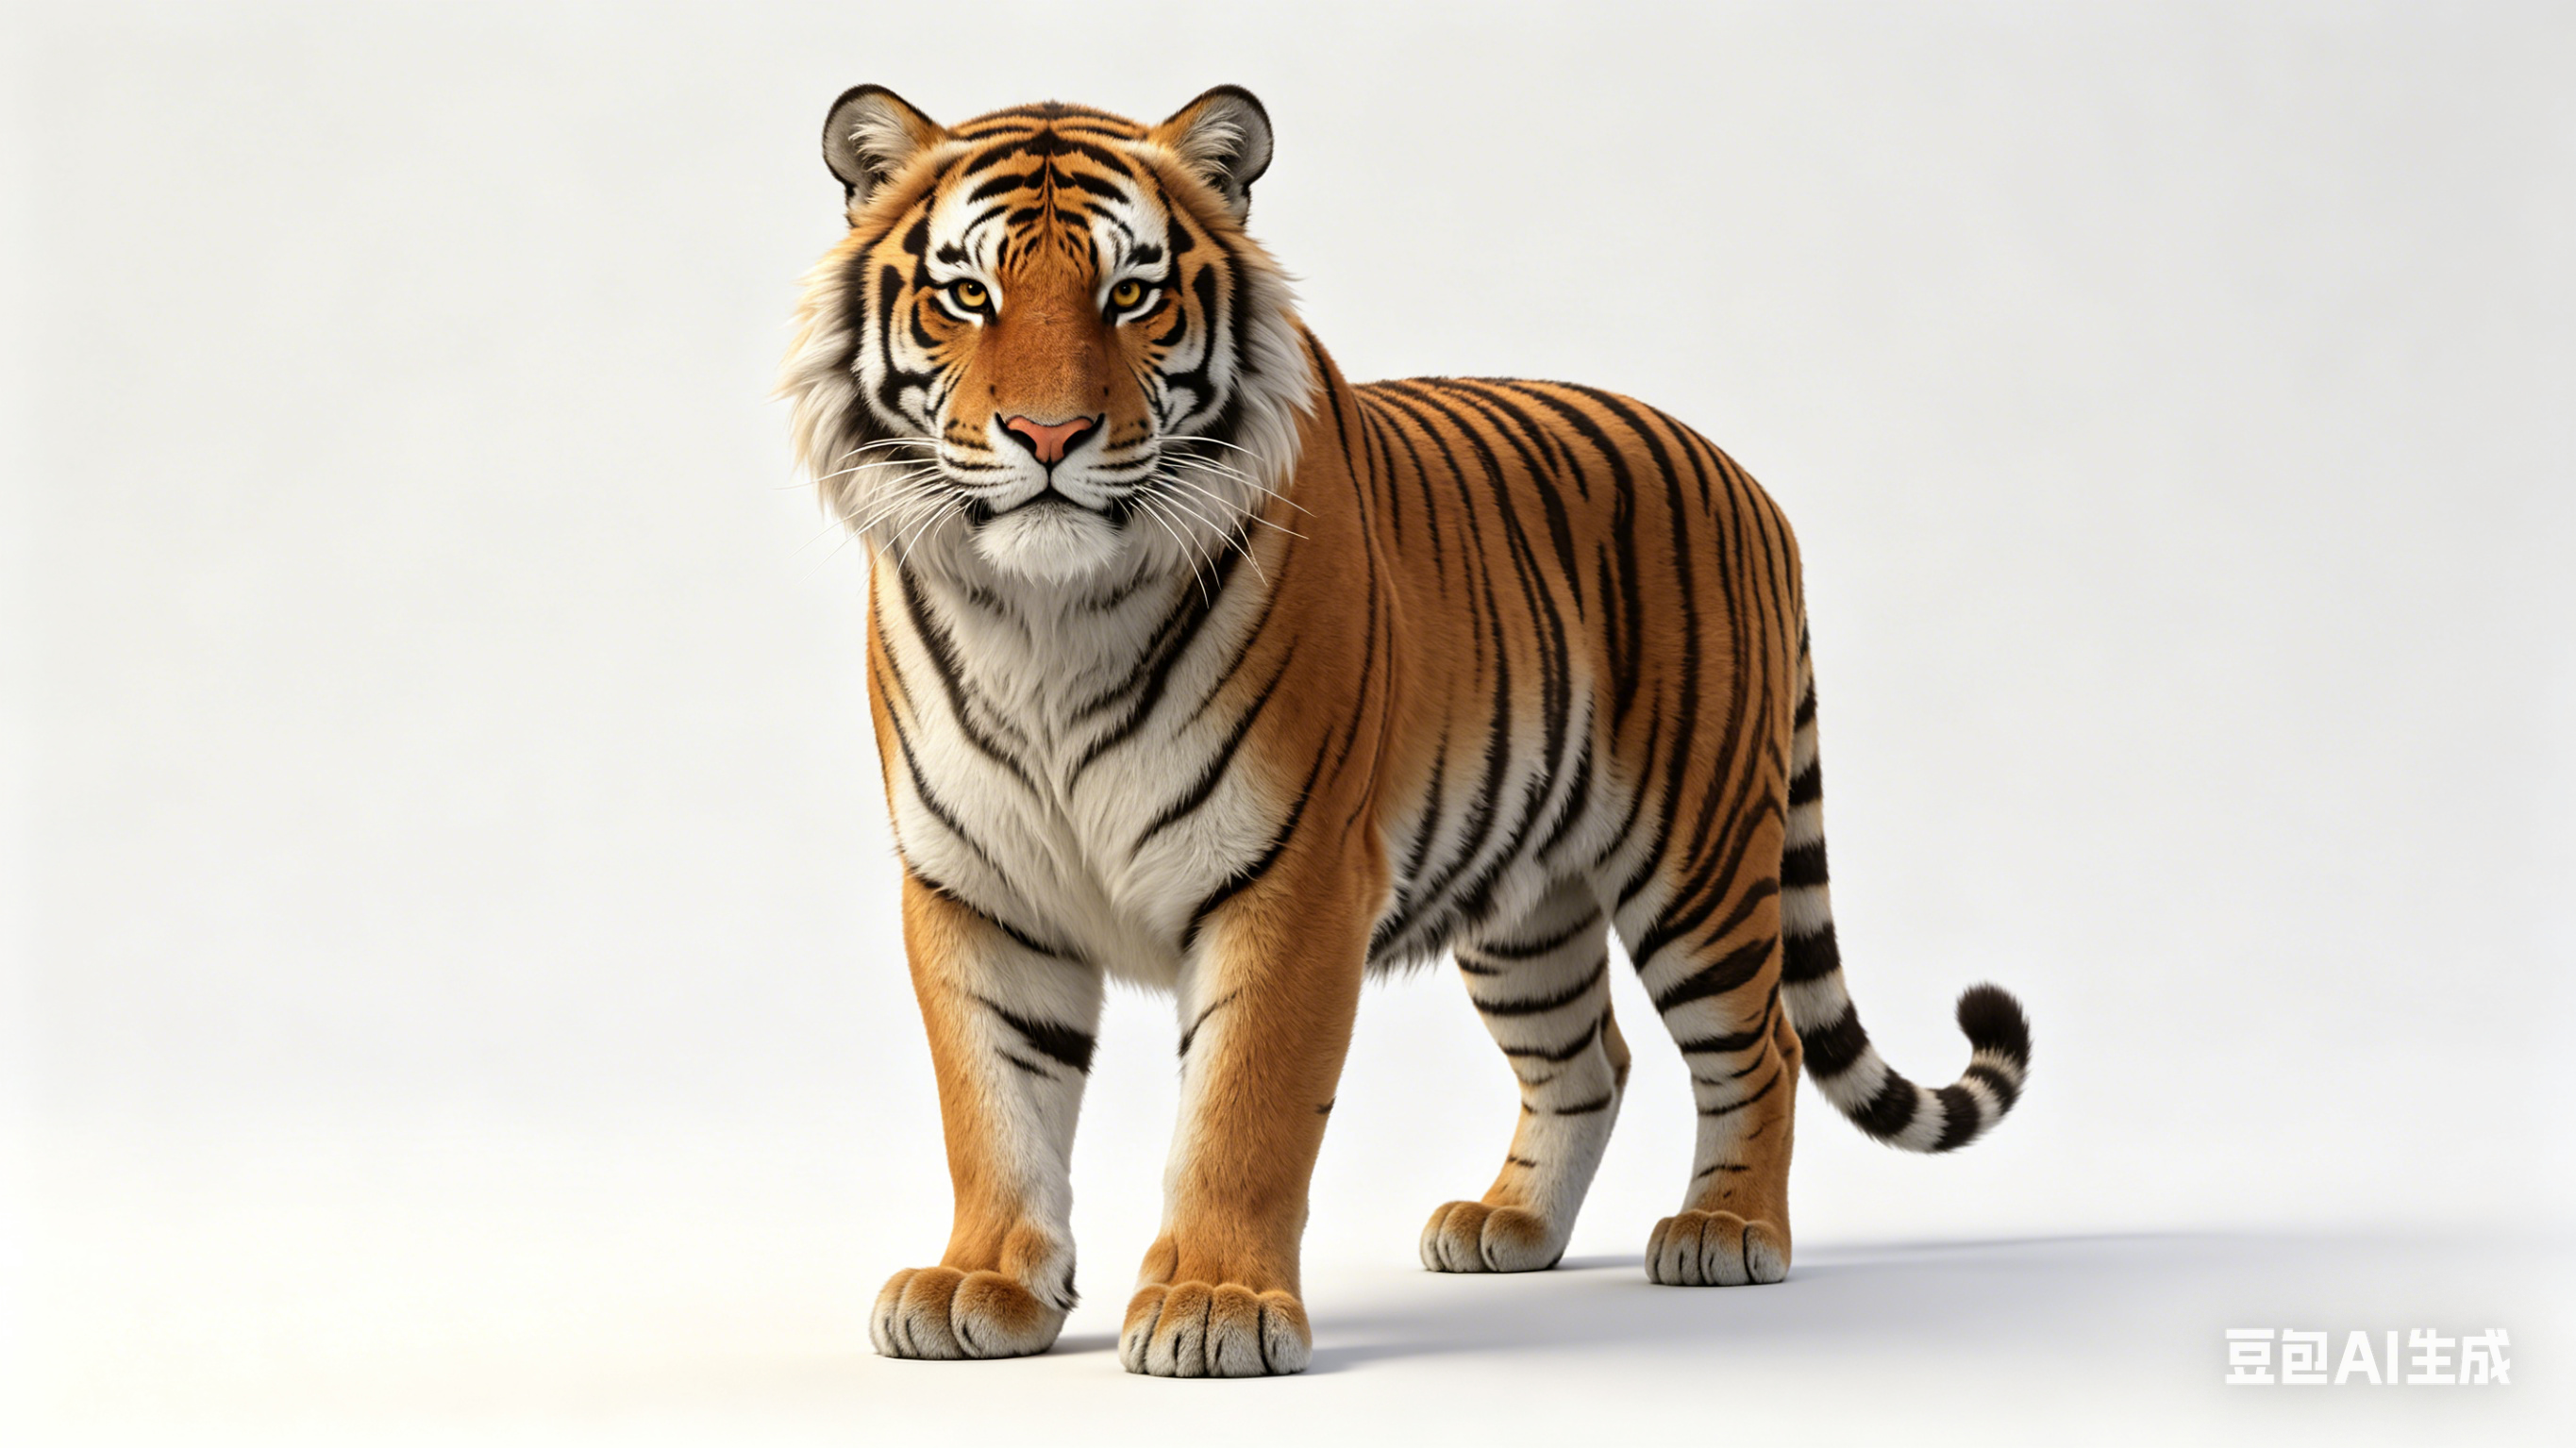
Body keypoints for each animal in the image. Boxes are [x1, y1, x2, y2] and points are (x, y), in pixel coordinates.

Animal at [779, 84, 2033, 1378]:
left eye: (1131, 292)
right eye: (968, 294)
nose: (1048, 433)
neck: (1048, 617)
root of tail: (1750, 482)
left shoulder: (1291, 874)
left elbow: (1243, 1110)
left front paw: (1214, 1304)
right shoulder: (974, 881)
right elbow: (993, 1103)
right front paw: (983, 1281)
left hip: (1702, 858)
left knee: (1761, 1046)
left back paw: (1727, 1227)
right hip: (1529, 904)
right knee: (1590, 1058)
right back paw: (1511, 1223)